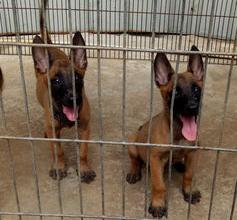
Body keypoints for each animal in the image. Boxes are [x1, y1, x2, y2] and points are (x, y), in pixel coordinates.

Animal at [31, 0, 96, 182]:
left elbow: (83, 153)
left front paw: (84, 169)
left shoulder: (85, 129)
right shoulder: (55, 131)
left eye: (77, 78)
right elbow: (58, 151)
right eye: (56, 81)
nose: (74, 99)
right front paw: (59, 167)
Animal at [127, 45, 203, 217]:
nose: (193, 108)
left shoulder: (193, 152)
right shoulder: (156, 158)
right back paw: (134, 172)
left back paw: (179, 164)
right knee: (135, 160)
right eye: (175, 92)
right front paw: (158, 204)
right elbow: (159, 185)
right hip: (132, 144)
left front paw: (189, 192)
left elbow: (189, 175)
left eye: (196, 89)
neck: (178, 132)